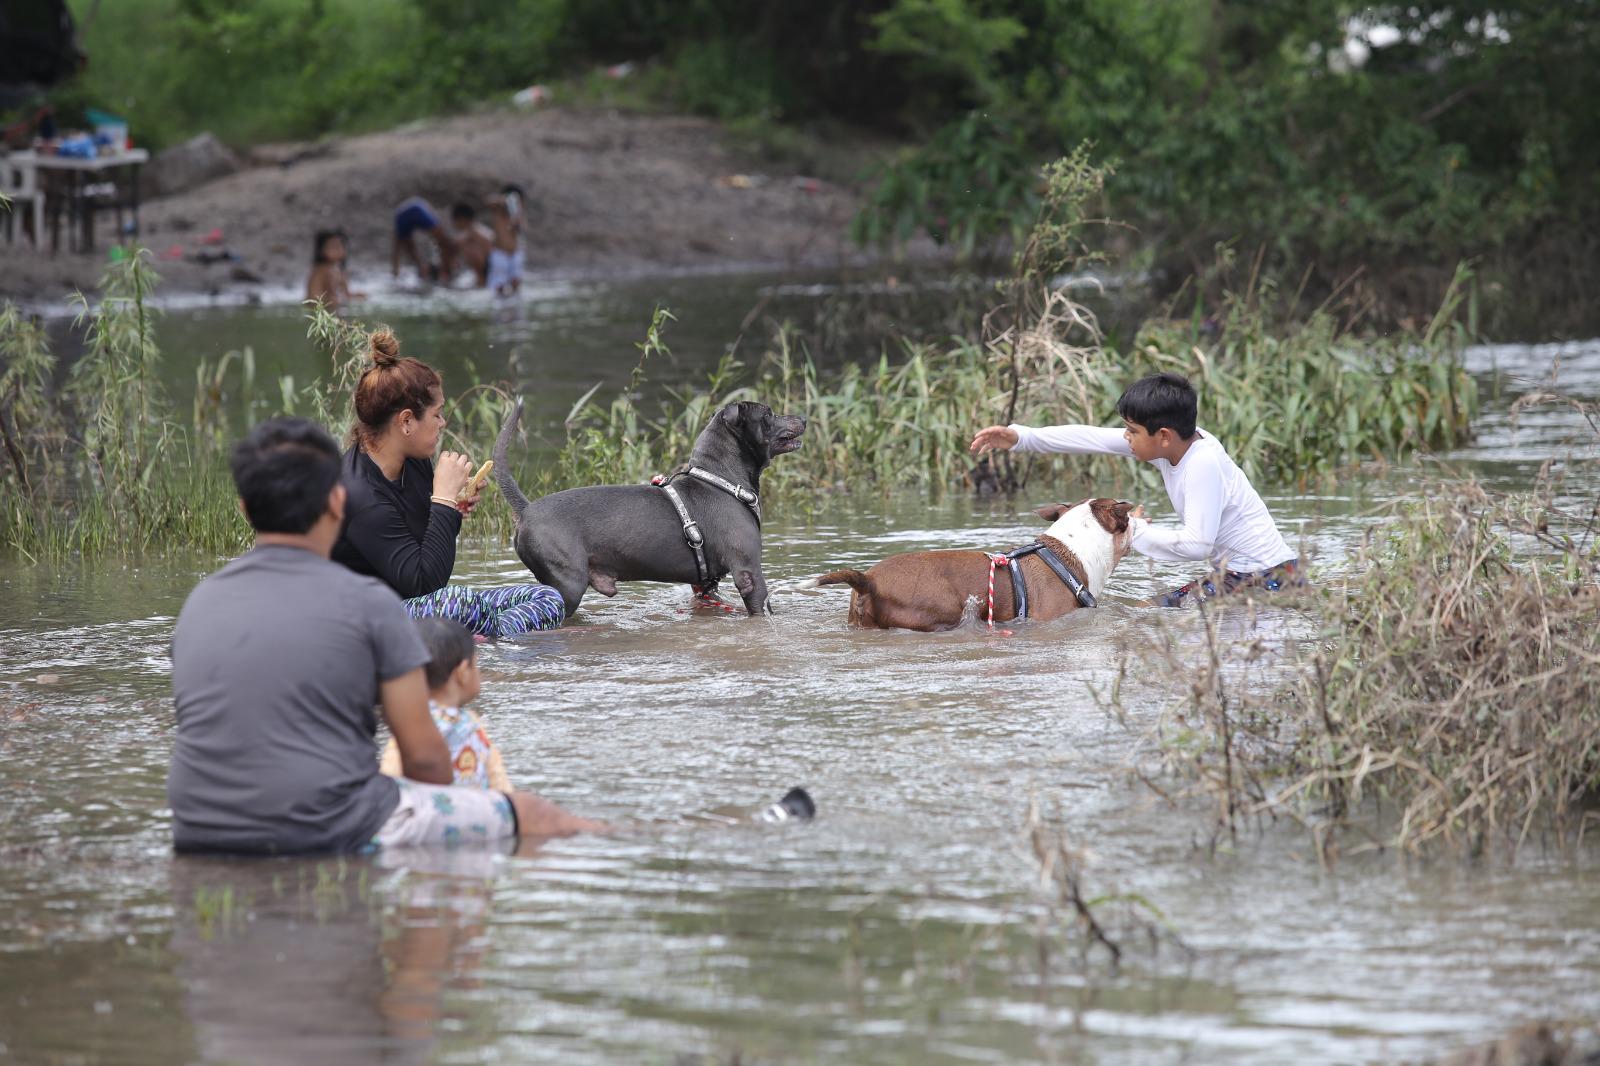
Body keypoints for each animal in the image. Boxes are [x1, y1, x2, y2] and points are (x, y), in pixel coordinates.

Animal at [492, 396, 806, 614]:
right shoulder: (749, 574)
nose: (803, 417)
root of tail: (526, 509)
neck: (720, 479)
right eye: (769, 414)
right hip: (567, 585)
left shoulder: (706, 586)